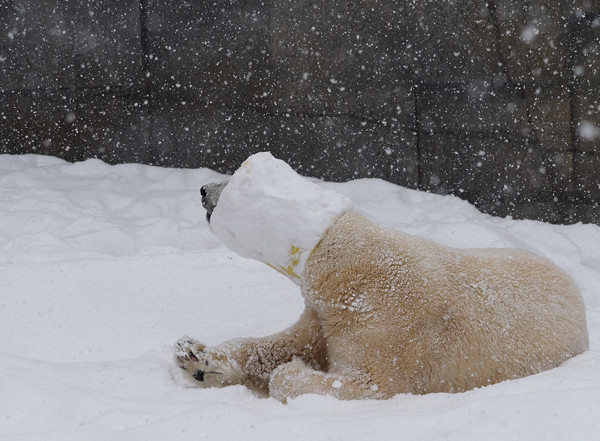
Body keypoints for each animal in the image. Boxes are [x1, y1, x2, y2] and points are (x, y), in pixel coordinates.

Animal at [176, 152, 588, 402]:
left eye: (232, 180)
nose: (203, 189)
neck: (347, 265)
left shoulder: (388, 322)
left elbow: (372, 383)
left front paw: (293, 371)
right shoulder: (325, 312)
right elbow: (286, 343)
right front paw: (196, 357)